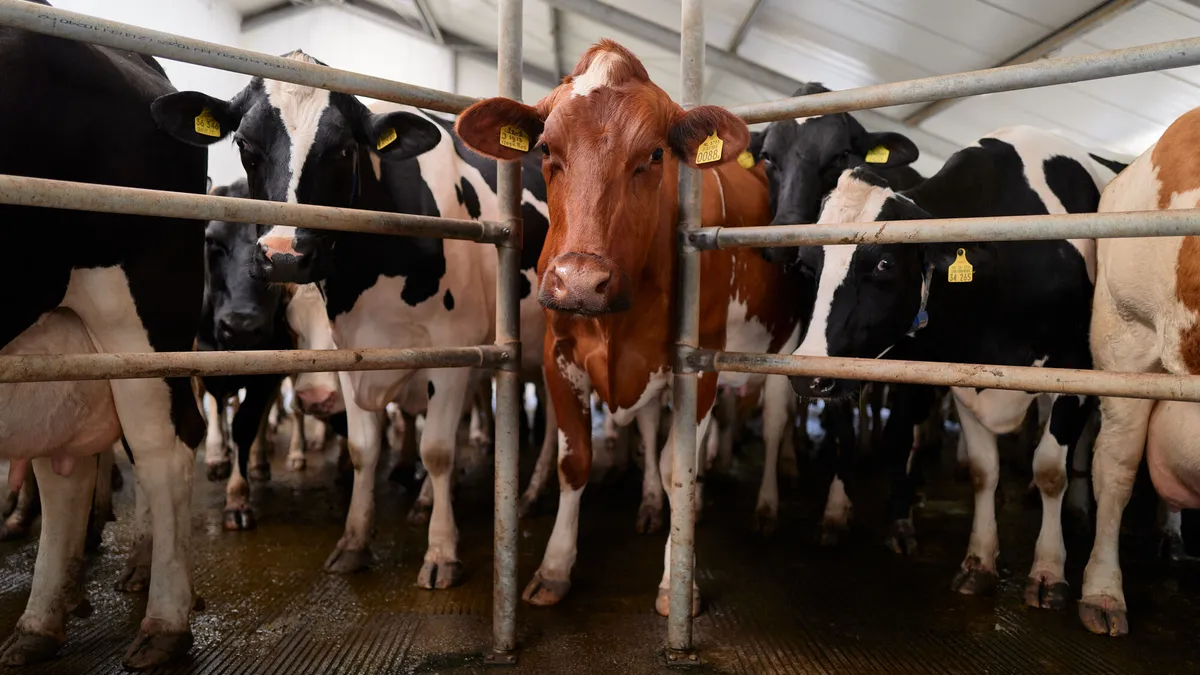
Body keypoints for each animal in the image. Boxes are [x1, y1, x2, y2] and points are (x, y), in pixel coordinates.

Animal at [148, 53, 556, 588]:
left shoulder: (456, 350)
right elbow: (364, 449)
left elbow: (438, 451)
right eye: (244, 146)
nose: (284, 256)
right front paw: (354, 541)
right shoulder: (351, 353)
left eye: (344, 150)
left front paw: (441, 552)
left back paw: (531, 493)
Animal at [451, 39, 806, 612]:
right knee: (646, 422)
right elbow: (575, 461)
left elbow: (679, 465)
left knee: (773, 424)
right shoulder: (560, 354)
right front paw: (554, 568)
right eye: (545, 149)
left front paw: (676, 581)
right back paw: (653, 504)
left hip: (783, 345)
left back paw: (766, 507)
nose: (579, 281)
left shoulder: (699, 364)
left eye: (655, 155)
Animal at [782, 126, 1118, 610]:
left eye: (883, 262)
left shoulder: (1073, 365)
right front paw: (978, 562)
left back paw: (1077, 509)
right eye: (807, 266)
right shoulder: (961, 374)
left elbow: (1050, 469)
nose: (808, 374)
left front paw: (1049, 571)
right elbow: (983, 470)